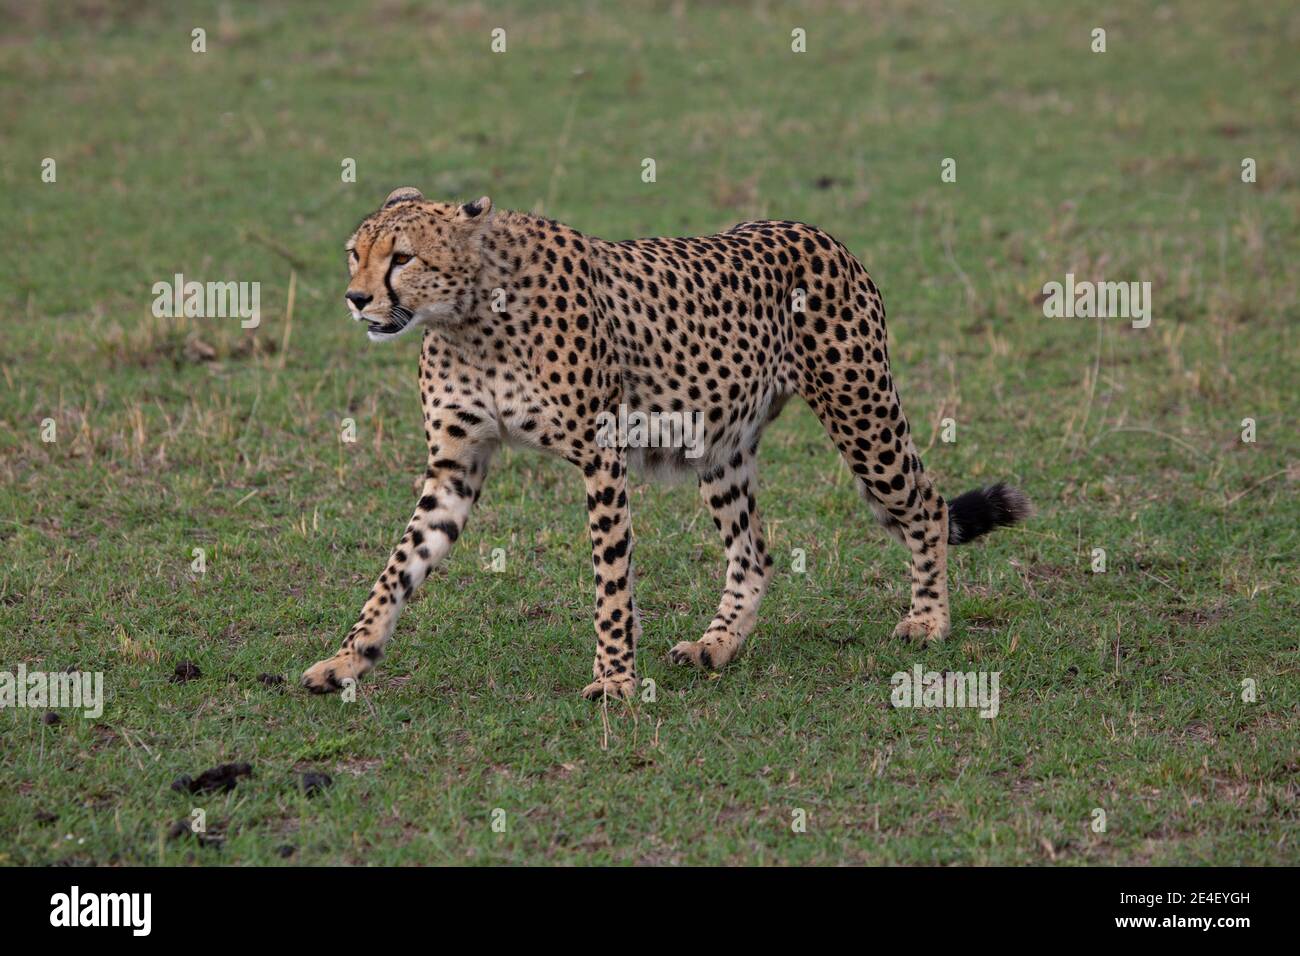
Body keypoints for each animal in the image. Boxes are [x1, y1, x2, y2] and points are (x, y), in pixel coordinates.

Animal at [299, 188, 1029, 702]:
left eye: (403, 257)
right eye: (354, 253)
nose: (355, 298)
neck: (469, 317)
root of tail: (813, 231)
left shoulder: (600, 455)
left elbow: (611, 578)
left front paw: (615, 680)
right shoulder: (454, 467)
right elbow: (398, 567)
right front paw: (348, 659)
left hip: (861, 411)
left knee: (924, 503)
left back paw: (928, 621)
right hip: (721, 444)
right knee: (754, 551)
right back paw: (717, 645)